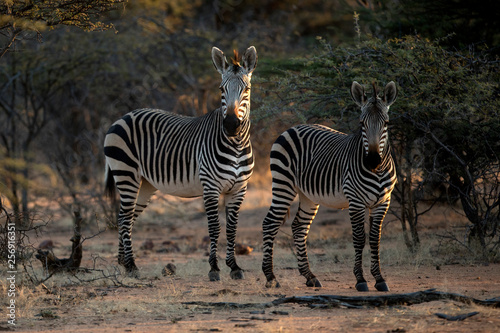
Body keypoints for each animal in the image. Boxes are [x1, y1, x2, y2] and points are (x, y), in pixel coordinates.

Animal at [104, 46, 258, 280]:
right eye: (221, 90)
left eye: (246, 89)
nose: (231, 125)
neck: (236, 144)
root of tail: (124, 116)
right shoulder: (211, 187)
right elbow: (214, 227)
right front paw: (214, 268)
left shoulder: (239, 189)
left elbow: (232, 228)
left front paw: (234, 267)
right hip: (126, 173)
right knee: (124, 217)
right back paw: (131, 266)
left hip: (145, 184)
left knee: (125, 217)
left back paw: (123, 262)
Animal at [262, 80, 398, 290]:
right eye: (361, 123)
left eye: (386, 123)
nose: (373, 161)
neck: (377, 171)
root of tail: (291, 128)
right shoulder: (356, 201)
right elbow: (359, 238)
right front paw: (360, 279)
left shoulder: (383, 202)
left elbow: (375, 239)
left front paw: (379, 279)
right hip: (283, 184)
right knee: (270, 223)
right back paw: (271, 277)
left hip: (308, 195)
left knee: (299, 226)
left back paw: (310, 276)